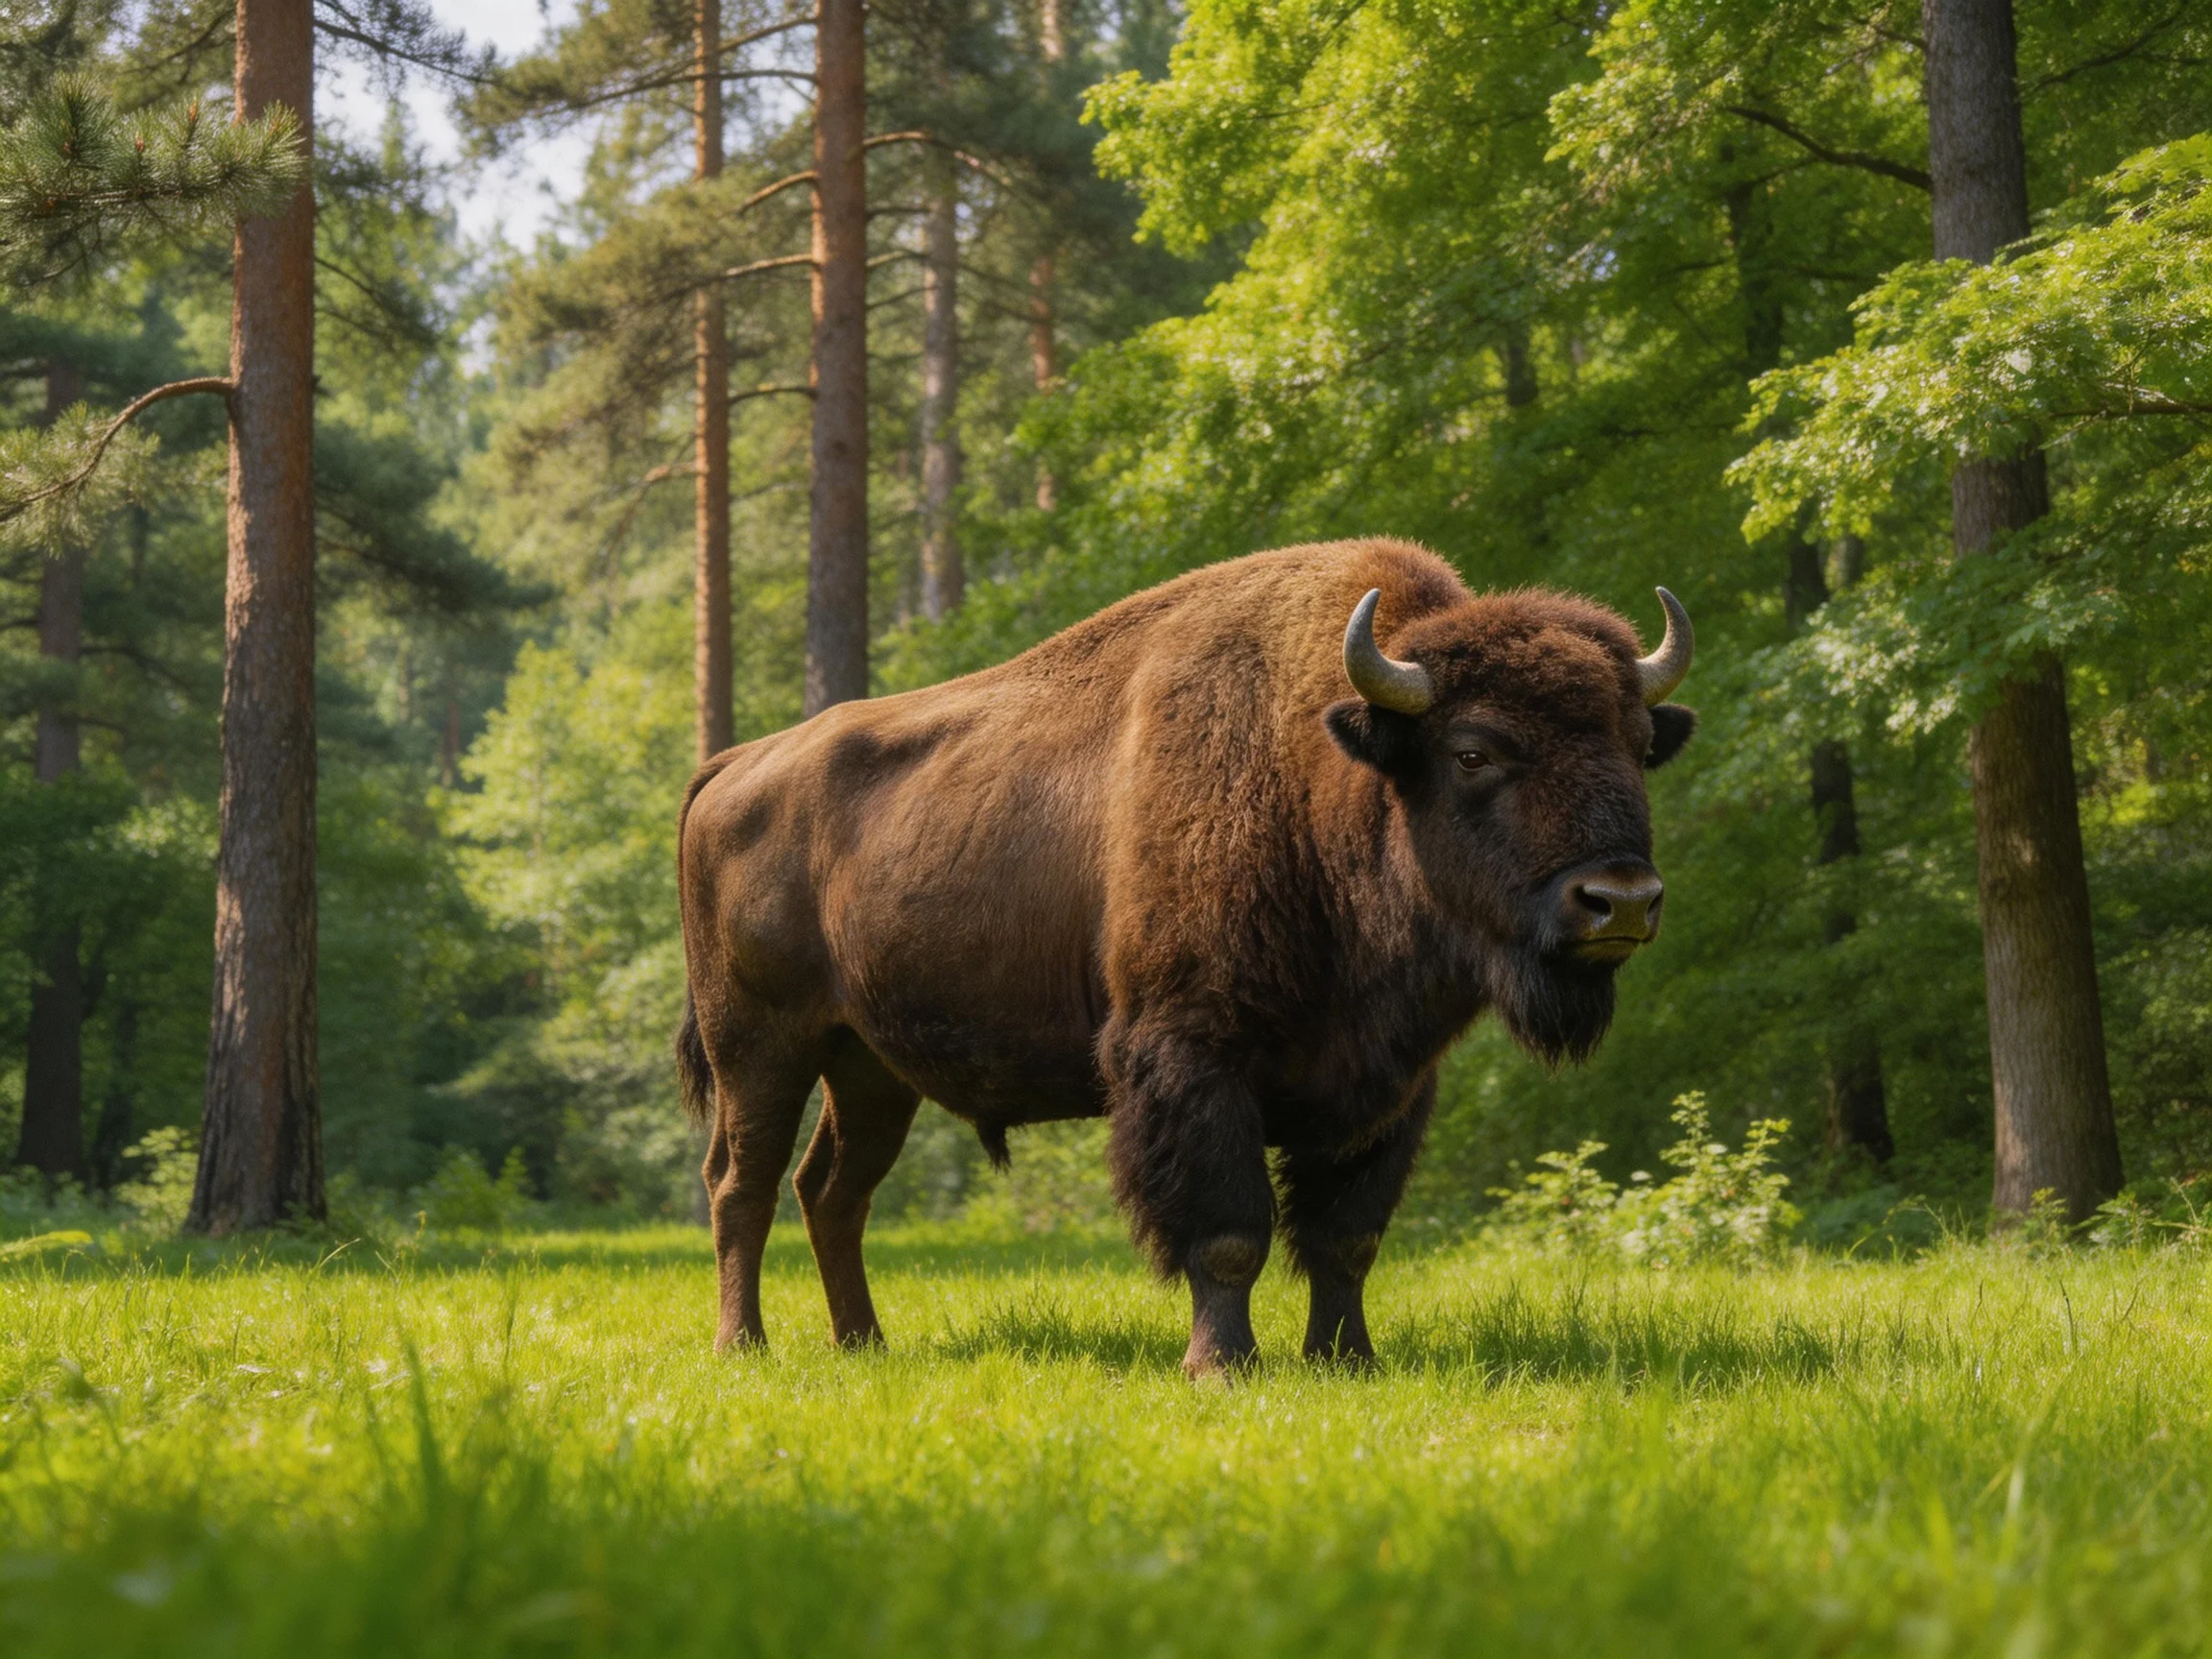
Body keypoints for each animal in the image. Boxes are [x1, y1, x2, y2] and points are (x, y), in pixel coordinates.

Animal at [676, 538, 1695, 1375]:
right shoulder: (1193, 1057)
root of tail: (735, 766)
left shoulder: (1390, 1088)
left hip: (871, 1067)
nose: (1620, 899)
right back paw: (743, 1347)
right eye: (1474, 751)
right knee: (742, 1184)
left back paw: (864, 1344)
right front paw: (1222, 1365)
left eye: (1639, 745)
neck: (1324, 773)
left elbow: (1345, 1240)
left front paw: (1347, 1361)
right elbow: (1229, 1233)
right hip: (759, 1045)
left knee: (832, 1190)